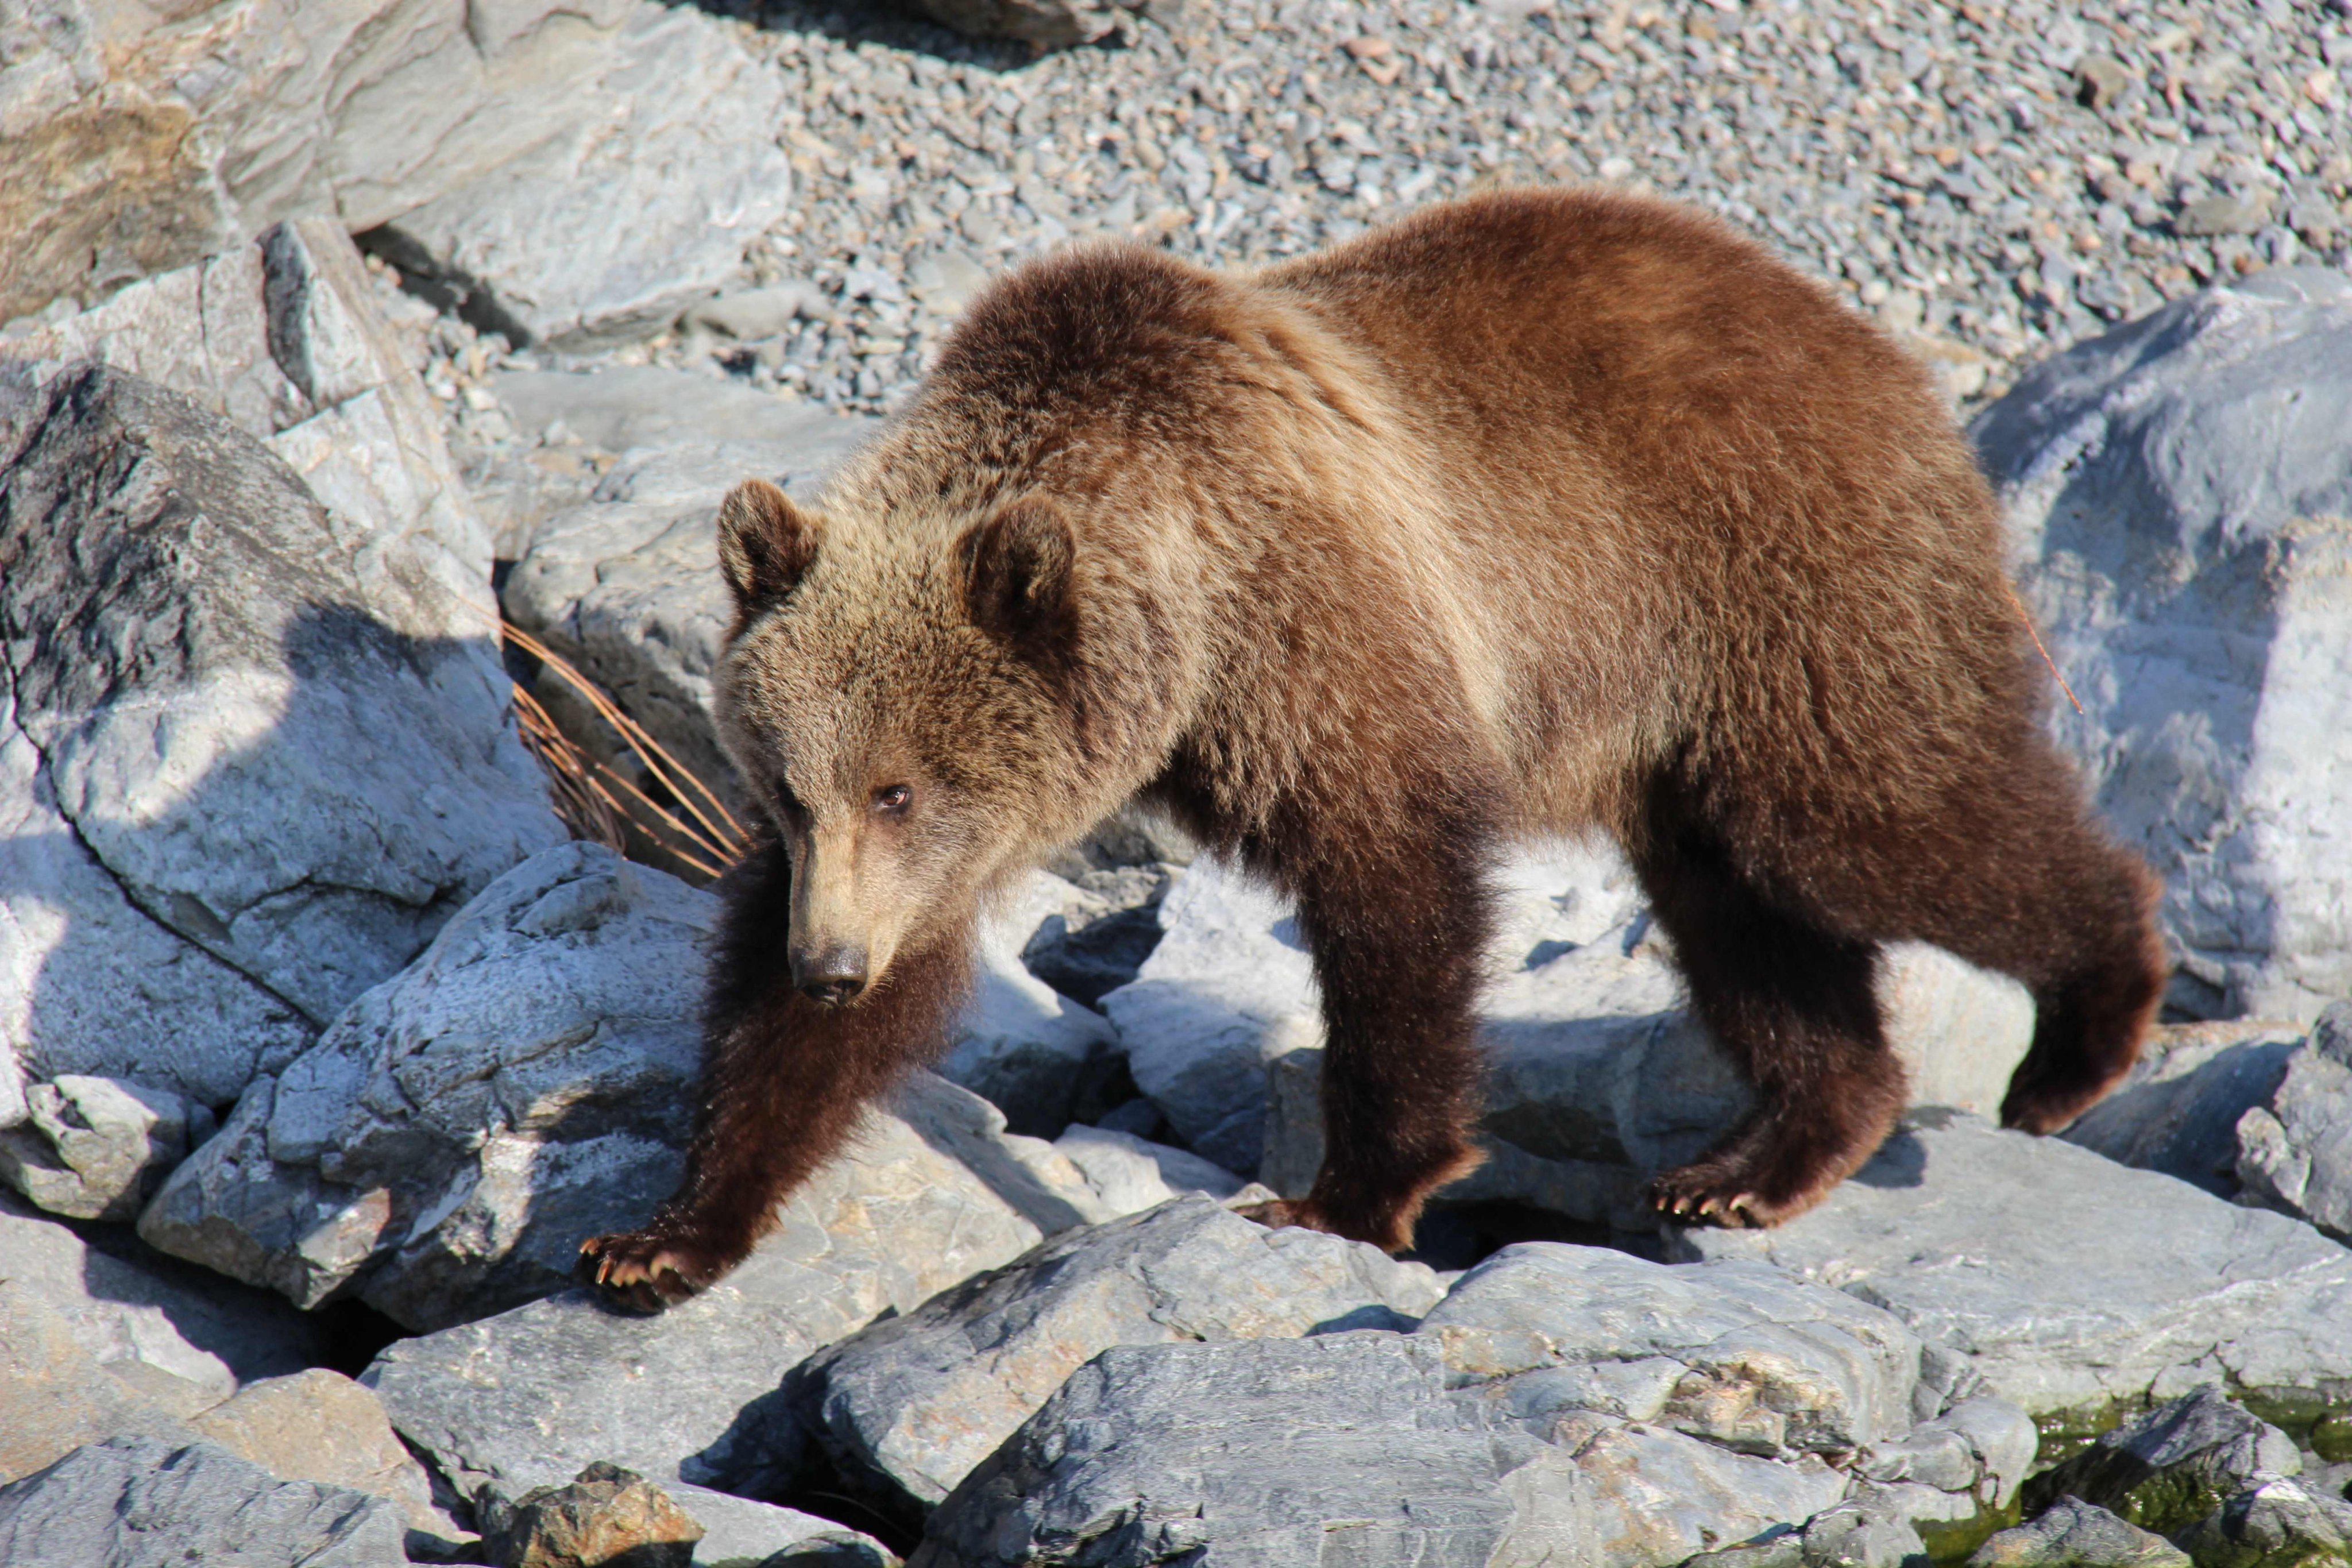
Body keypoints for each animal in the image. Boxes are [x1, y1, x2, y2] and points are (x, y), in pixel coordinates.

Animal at [579, 187, 2166, 1309]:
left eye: (901, 786)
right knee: (1740, 912)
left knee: (1874, 823)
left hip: (1778, 580)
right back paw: (1756, 1159)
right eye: (791, 789)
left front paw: (1343, 1193)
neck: (1184, 611)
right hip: (1685, 714)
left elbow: (1392, 888)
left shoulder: (1318, 630)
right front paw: (662, 1237)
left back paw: (2086, 1025)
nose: (828, 962)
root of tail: (1864, 339)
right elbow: (801, 1027)